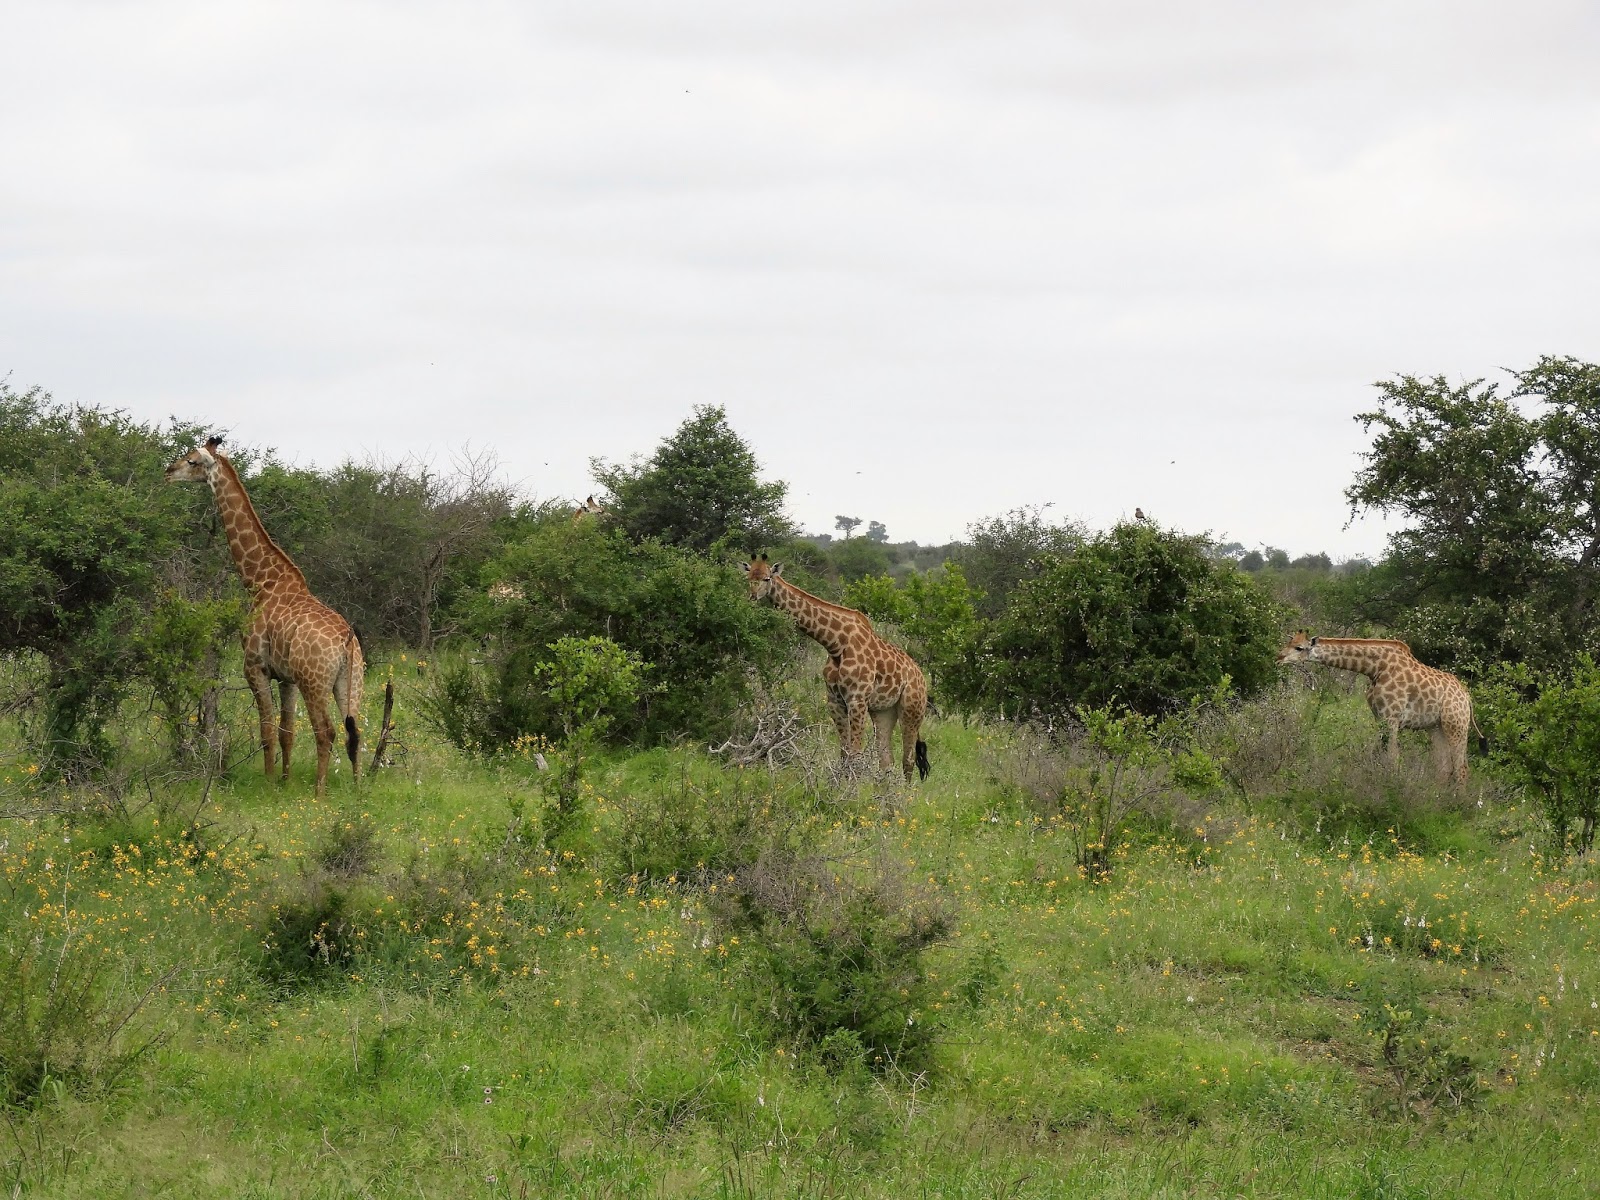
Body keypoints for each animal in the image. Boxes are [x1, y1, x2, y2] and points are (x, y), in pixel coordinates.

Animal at [166, 437, 364, 797]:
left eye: (191, 461)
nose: (168, 471)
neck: (260, 582)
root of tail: (346, 643)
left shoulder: (255, 667)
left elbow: (267, 731)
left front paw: (270, 783)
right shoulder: (286, 677)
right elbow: (287, 732)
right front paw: (284, 781)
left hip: (315, 682)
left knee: (327, 731)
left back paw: (319, 793)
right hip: (350, 682)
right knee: (353, 730)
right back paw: (357, 790)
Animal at [744, 553, 929, 781]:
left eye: (767, 578)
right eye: (748, 577)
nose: (753, 596)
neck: (835, 644)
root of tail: (921, 678)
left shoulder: (857, 700)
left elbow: (856, 756)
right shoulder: (835, 701)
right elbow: (844, 754)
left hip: (912, 709)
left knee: (908, 760)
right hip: (884, 711)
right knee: (887, 760)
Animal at [1277, 631, 1476, 786]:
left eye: (1299, 648)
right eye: (1288, 643)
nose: (1278, 658)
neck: (1375, 668)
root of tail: (1467, 698)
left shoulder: (1391, 717)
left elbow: (1392, 757)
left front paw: (1392, 787)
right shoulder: (1379, 716)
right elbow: (1378, 755)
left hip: (1456, 725)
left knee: (1462, 768)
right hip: (1436, 727)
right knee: (1444, 767)